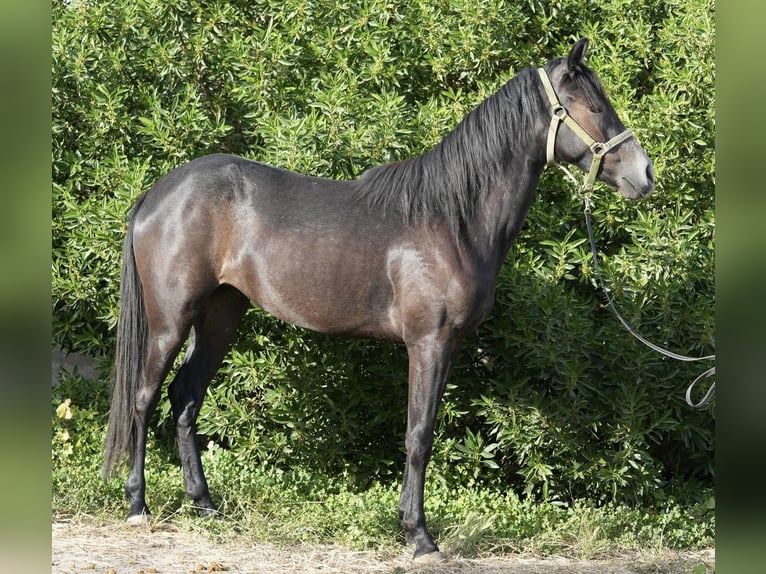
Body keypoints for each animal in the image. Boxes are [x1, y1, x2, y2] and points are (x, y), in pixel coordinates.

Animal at [103, 38, 654, 561]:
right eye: (591, 104)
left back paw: (204, 503)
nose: (644, 173)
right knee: (144, 398)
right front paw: (420, 537)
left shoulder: (448, 345)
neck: (452, 218)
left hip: (219, 317)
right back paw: (138, 506)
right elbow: (419, 435)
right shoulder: (428, 342)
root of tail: (156, 194)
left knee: (186, 396)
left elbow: (421, 432)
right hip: (170, 321)